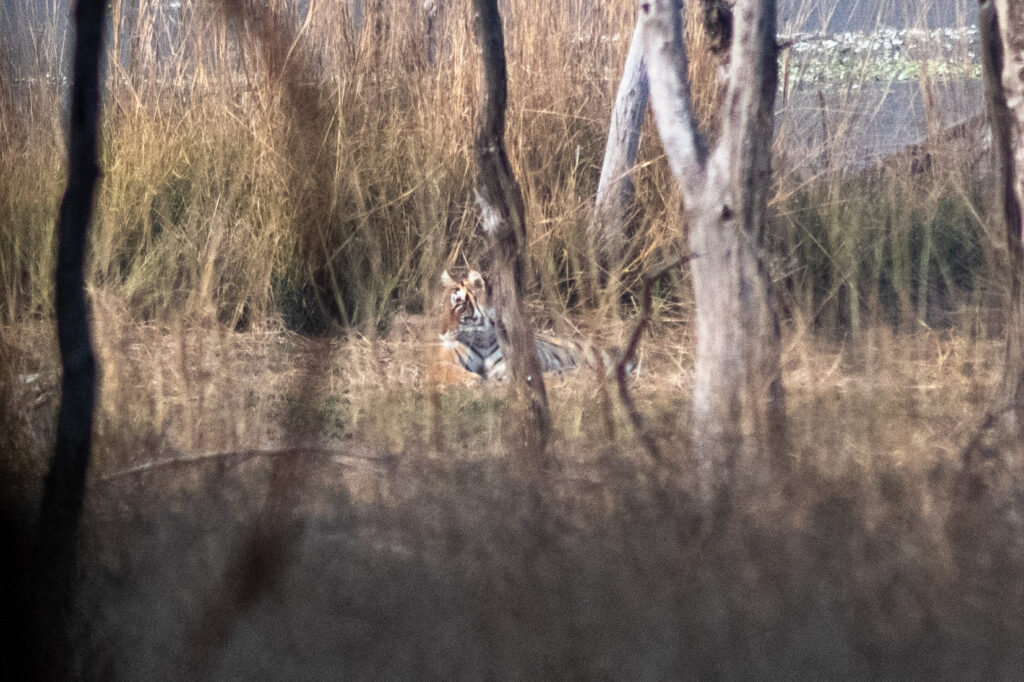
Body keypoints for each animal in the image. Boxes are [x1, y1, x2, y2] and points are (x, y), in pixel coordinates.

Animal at [435, 269, 632, 382]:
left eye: (459, 305)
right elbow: (452, 372)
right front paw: (474, 381)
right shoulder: (443, 362)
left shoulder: (509, 367)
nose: (441, 333)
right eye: (442, 305)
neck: (481, 340)